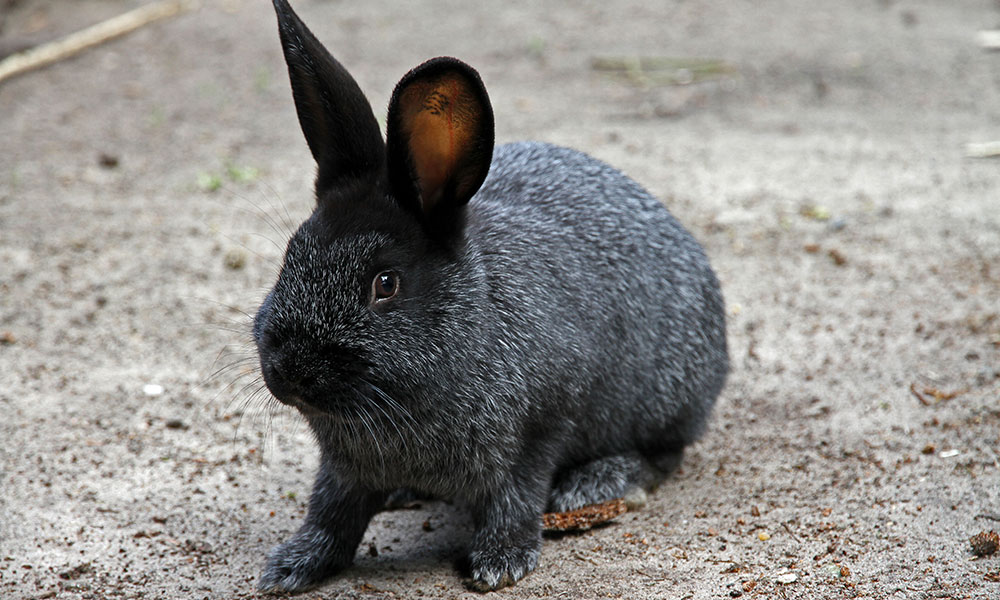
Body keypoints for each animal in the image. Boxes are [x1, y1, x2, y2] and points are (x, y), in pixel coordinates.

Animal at [253, 0, 728, 592]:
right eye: (290, 255)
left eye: (385, 284)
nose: (287, 371)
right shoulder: (343, 472)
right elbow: (330, 514)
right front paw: (291, 566)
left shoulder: (538, 431)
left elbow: (515, 497)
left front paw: (500, 563)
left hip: (661, 402)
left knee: (664, 455)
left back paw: (593, 484)